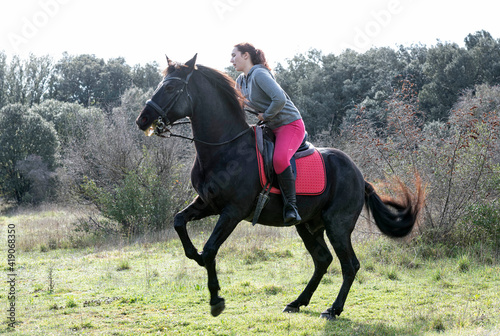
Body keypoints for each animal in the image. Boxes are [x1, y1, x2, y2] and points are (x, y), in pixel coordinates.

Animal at [134, 53, 422, 318]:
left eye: (170, 88)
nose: (143, 119)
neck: (225, 148)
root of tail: (360, 176)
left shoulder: (232, 212)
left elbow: (210, 249)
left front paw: (216, 300)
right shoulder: (207, 204)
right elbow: (179, 222)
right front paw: (193, 255)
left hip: (337, 225)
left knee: (350, 265)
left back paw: (333, 309)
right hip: (308, 225)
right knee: (323, 260)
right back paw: (297, 302)